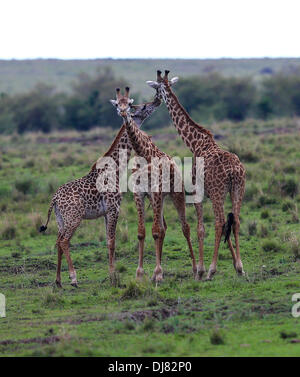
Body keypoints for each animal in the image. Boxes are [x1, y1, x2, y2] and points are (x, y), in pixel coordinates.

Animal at [40, 92, 162, 286]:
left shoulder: (106, 212)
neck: (117, 166)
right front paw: (113, 275)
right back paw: (73, 278)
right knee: (65, 241)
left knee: (58, 241)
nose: (156, 101)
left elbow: (107, 241)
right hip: (74, 217)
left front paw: (111, 272)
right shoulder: (113, 208)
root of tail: (54, 199)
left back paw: (58, 281)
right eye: (142, 106)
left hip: (60, 219)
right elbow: (112, 241)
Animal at [110, 87, 197, 282]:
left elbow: (155, 231)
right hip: (159, 199)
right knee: (164, 228)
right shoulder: (140, 193)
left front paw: (157, 273)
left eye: (131, 104)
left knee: (185, 227)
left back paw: (196, 269)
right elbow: (142, 232)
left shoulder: (156, 192)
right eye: (118, 104)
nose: (123, 112)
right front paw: (141, 273)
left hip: (176, 194)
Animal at [146, 71, 246, 280]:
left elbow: (201, 229)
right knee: (236, 222)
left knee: (219, 223)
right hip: (238, 190)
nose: (156, 100)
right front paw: (235, 265)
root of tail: (234, 171)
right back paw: (241, 267)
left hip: (217, 193)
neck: (195, 143)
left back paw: (211, 270)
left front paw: (200, 270)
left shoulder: (197, 192)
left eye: (156, 89)